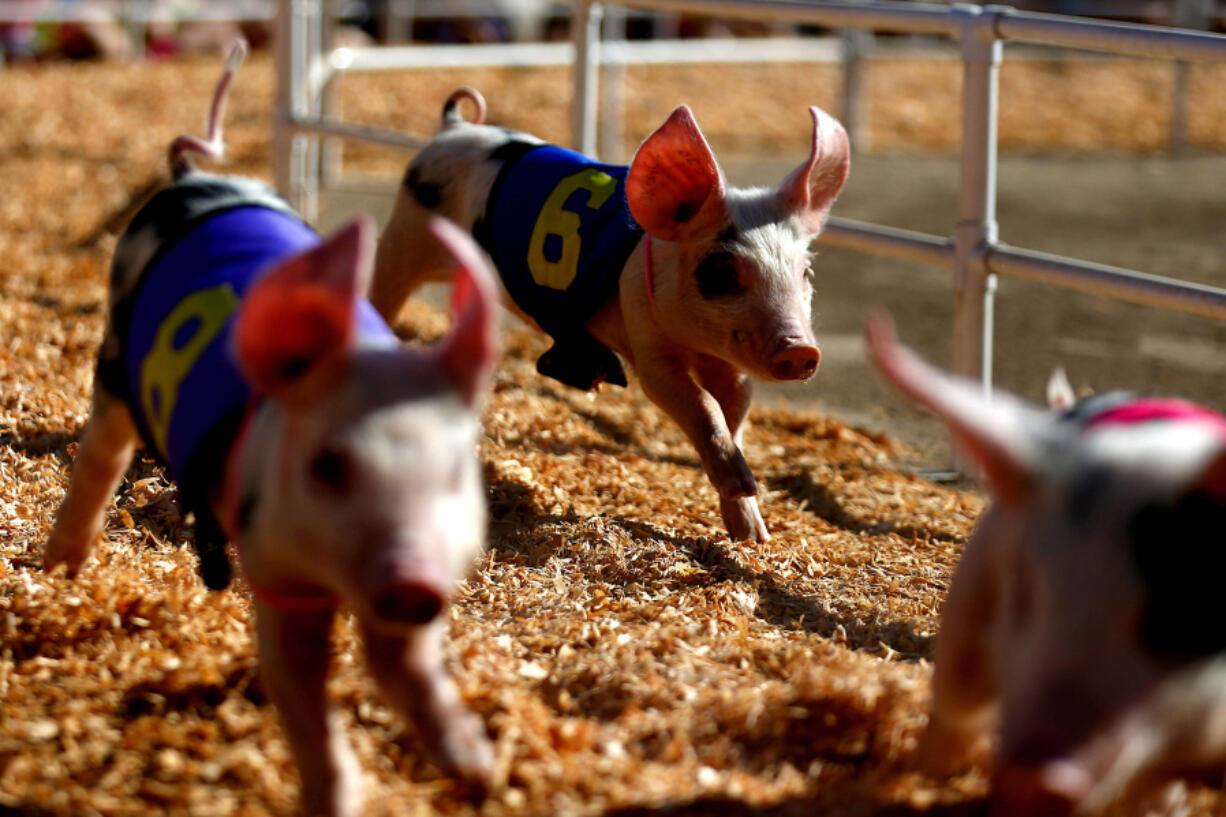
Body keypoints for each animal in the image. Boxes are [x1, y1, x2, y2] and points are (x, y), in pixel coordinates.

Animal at [41, 44, 497, 814]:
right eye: (329, 465)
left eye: (456, 472)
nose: (413, 580)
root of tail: (193, 179)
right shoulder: (272, 559)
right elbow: (300, 686)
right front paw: (337, 795)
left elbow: (405, 666)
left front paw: (475, 766)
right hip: (114, 360)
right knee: (101, 455)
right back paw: (57, 572)